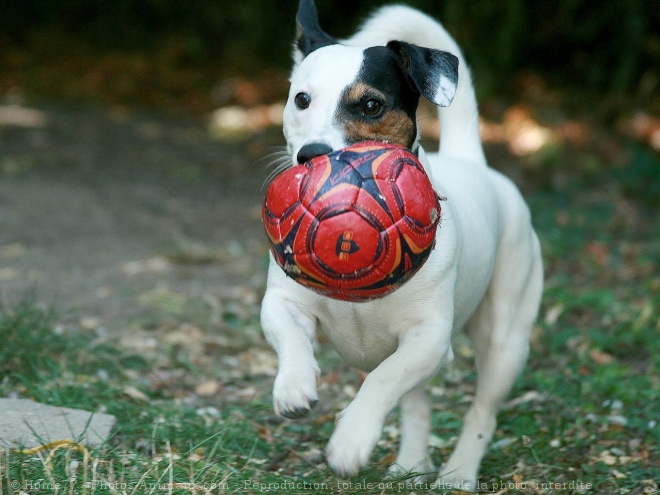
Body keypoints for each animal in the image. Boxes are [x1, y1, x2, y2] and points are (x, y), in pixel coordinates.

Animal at [260, 0, 544, 488]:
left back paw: (457, 474)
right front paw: (294, 385)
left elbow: (383, 380)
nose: (310, 155)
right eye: (302, 99)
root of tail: (473, 160)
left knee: (482, 411)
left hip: (507, 341)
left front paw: (351, 439)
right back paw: (412, 464)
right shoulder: (282, 302)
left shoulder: (428, 339)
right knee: (416, 404)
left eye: (371, 105)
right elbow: (291, 336)